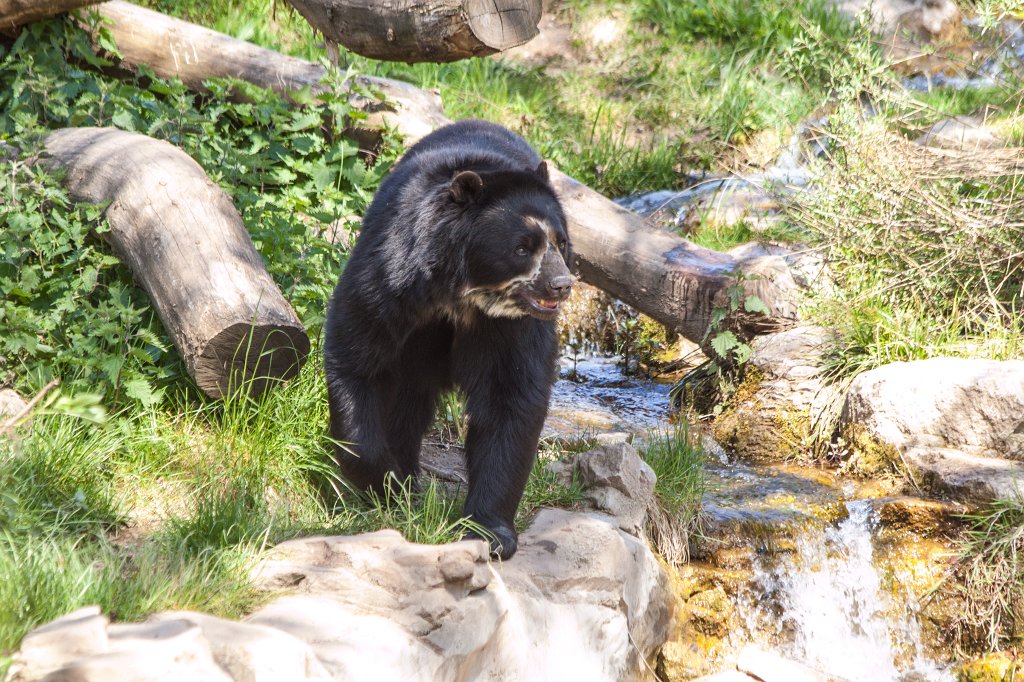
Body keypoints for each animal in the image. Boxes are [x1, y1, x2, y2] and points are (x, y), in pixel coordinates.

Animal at [323, 119, 573, 560]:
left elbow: (511, 397)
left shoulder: (512, 328)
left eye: (561, 243)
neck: (460, 294)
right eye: (522, 248)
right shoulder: (390, 281)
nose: (561, 285)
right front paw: (385, 483)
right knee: (406, 401)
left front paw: (489, 532)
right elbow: (358, 356)